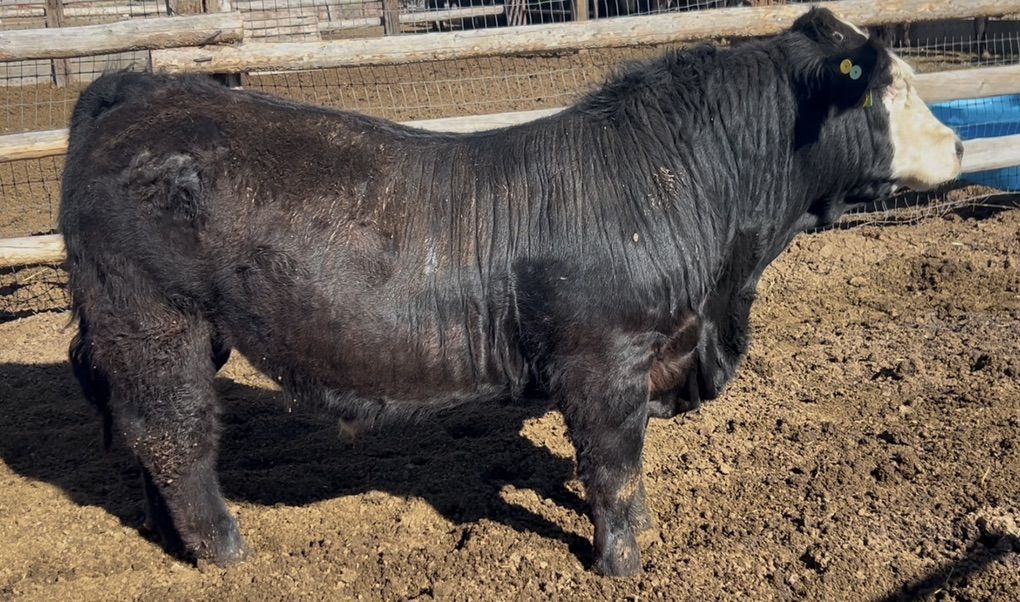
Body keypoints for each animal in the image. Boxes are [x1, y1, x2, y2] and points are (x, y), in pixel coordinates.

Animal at [59, 7, 963, 577]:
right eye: (890, 87)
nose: (958, 145)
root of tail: (140, 92)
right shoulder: (603, 363)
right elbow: (612, 470)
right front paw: (622, 563)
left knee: (140, 425)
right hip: (151, 318)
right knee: (174, 435)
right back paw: (227, 553)